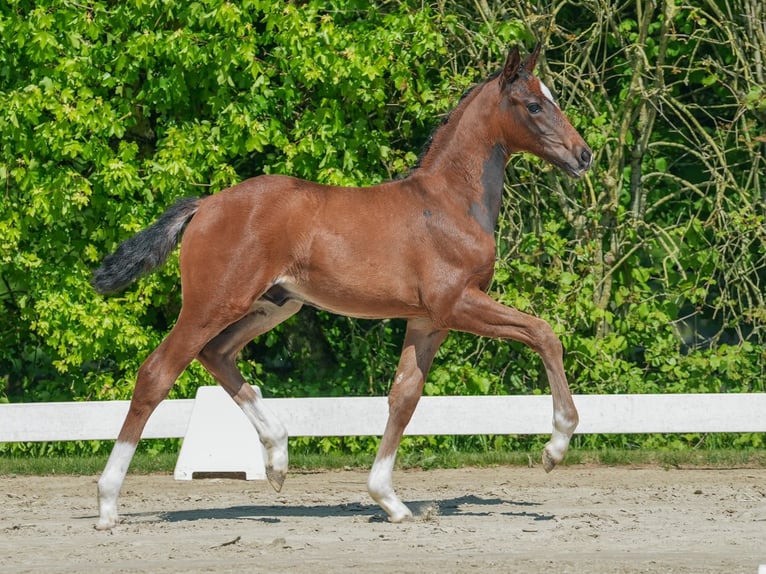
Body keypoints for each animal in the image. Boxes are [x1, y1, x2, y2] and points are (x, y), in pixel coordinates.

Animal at [91, 45, 592, 532]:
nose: (583, 155)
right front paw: (556, 447)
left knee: (216, 354)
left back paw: (277, 458)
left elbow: (404, 396)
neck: (449, 202)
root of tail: (204, 205)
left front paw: (389, 500)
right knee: (157, 373)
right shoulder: (457, 304)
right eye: (534, 105)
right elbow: (543, 333)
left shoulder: (427, 320)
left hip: (275, 305)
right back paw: (108, 503)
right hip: (212, 303)